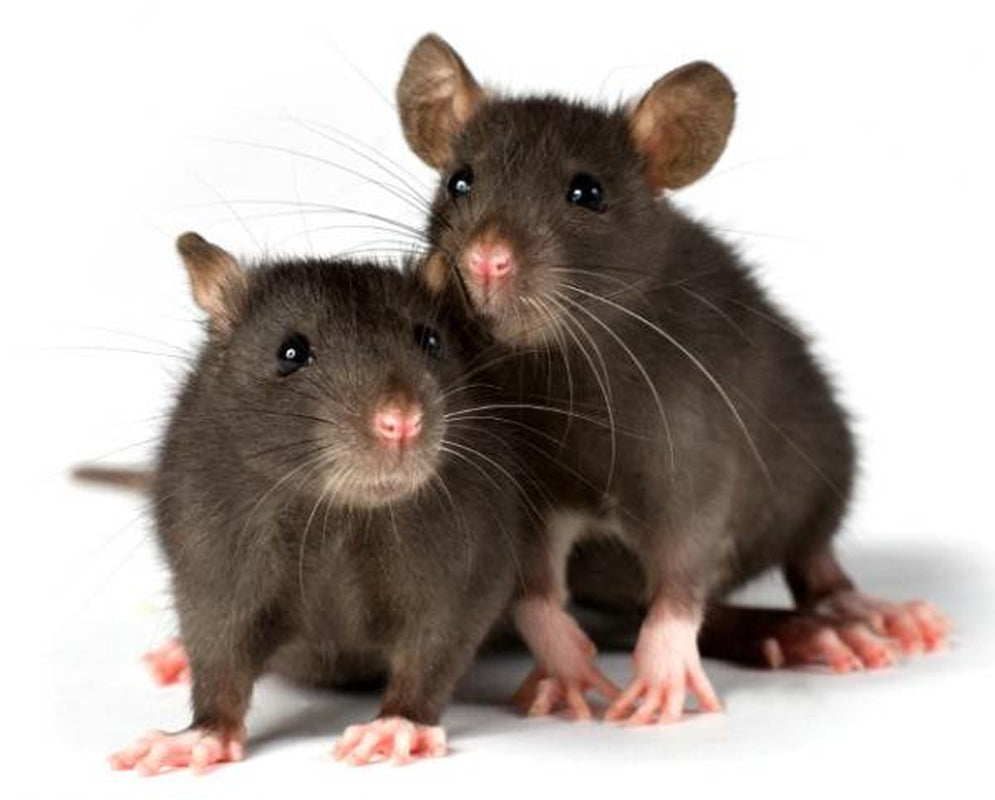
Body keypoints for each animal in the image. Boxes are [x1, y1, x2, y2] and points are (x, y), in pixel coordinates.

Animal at [107, 233, 526, 772]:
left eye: (430, 341)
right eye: (292, 352)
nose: (401, 422)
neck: (338, 514)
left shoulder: (466, 542)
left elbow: (444, 631)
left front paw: (400, 723)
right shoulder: (212, 539)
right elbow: (216, 632)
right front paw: (203, 732)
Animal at [394, 34, 950, 723]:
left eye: (587, 193)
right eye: (459, 181)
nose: (485, 261)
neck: (566, 372)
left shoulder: (689, 429)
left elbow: (690, 546)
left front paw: (662, 664)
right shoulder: (530, 473)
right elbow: (532, 578)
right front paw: (562, 660)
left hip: (822, 466)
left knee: (812, 557)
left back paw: (851, 612)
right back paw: (793, 633)